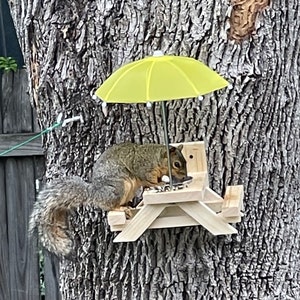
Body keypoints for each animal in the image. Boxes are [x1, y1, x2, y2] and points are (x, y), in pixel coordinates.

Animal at [28, 143, 188, 258]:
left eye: (186, 161)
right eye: (177, 164)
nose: (185, 176)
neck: (156, 157)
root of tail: (94, 193)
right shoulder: (143, 169)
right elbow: (148, 180)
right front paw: (159, 184)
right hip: (118, 188)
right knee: (109, 206)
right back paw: (121, 208)